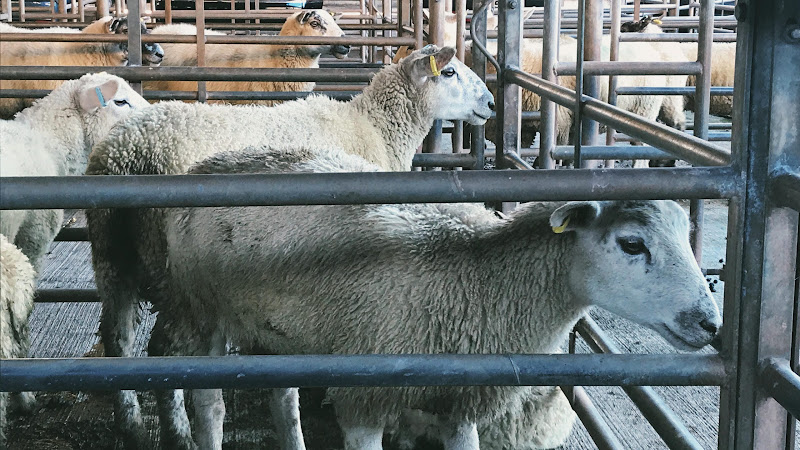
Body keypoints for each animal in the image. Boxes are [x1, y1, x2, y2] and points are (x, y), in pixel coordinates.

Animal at [85, 44, 495, 450]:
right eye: (449, 72)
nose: (490, 103)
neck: (373, 126)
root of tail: (128, 152)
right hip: (175, 274)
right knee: (161, 347)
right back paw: (178, 432)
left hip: (111, 252)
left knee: (118, 337)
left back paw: (131, 423)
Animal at [150, 145, 722, 450]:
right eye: (632, 244)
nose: (709, 323)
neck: (481, 276)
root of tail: (209, 164)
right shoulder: (364, 395)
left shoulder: (460, 400)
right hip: (204, 310)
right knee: (209, 402)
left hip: (279, 331)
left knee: (282, 395)